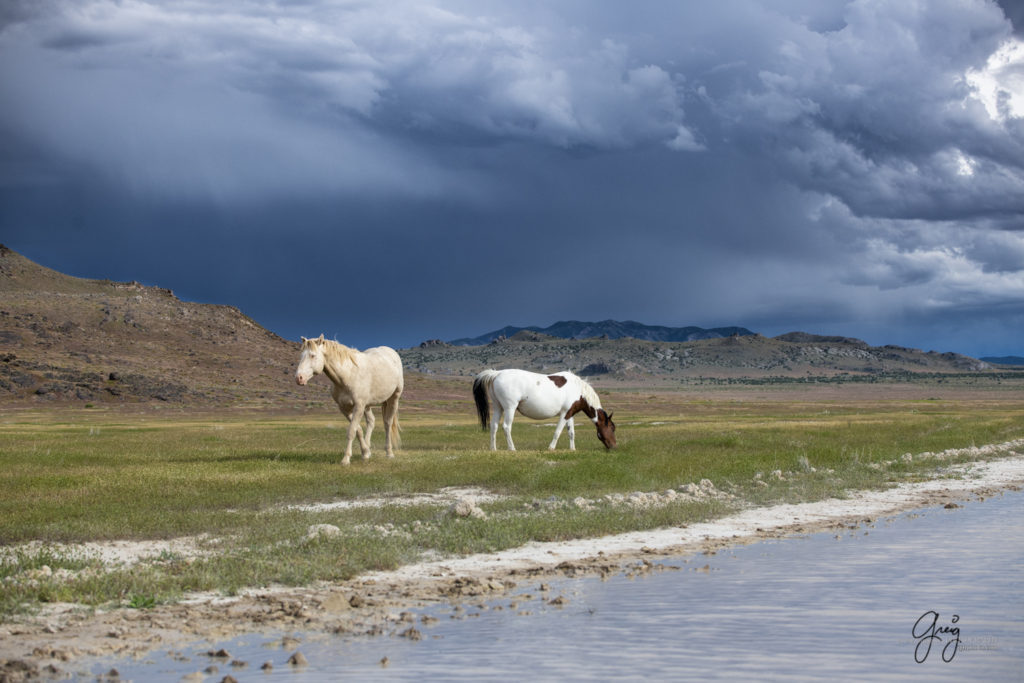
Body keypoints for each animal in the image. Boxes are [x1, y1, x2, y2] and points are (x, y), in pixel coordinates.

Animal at [294, 335, 401, 464]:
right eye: (301, 355)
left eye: (312, 355)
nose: (299, 378)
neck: (348, 375)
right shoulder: (345, 408)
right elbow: (358, 430)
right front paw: (365, 452)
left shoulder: (358, 406)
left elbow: (351, 431)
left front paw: (345, 459)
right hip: (367, 405)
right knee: (371, 421)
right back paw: (368, 449)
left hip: (394, 398)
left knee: (387, 423)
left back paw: (389, 452)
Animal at [473, 370, 614, 450]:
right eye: (612, 428)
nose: (614, 446)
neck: (578, 389)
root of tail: (496, 374)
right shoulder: (564, 414)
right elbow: (557, 432)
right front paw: (551, 448)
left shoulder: (570, 414)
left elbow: (571, 432)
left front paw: (572, 449)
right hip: (509, 408)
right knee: (506, 427)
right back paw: (512, 448)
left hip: (498, 407)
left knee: (494, 426)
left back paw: (493, 449)